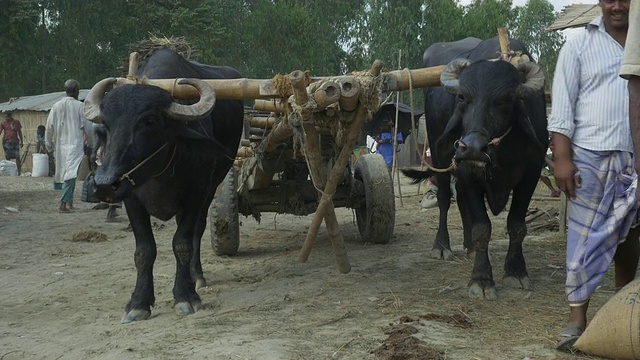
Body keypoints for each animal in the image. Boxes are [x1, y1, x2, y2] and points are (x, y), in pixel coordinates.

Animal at [84, 48, 244, 324]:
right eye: (106, 123)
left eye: (149, 120)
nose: (104, 184)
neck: (159, 171)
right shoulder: (131, 199)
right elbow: (144, 250)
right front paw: (138, 303)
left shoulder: (196, 193)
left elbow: (182, 242)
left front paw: (185, 297)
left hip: (213, 187)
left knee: (197, 231)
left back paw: (196, 276)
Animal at [404, 37, 544, 300]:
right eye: (462, 97)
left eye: (507, 99)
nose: (471, 149)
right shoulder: (468, 171)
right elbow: (482, 227)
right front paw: (481, 279)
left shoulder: (532, 173)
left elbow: (517, 225)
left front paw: (516, 271)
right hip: (440, 155)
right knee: (445, 198)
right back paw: (442, 246)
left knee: (460, 200)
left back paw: (468, 246)